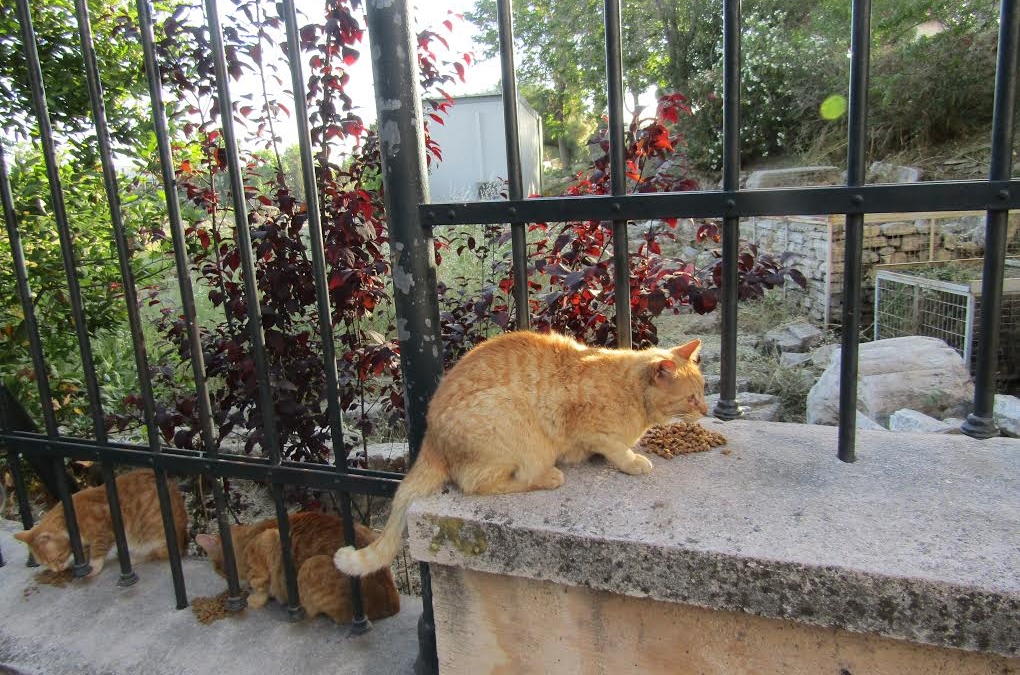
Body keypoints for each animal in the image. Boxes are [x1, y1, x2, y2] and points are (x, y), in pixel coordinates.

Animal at [12, 473, 187, 579]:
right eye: (46, 563)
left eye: (55, 558)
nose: (57, 570)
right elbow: (84, 551)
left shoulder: (103, 531)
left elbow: (97, 551)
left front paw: (93, 568)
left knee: (159, 553)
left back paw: (135, 558)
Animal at [192, 513, 399, 624]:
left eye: (216, 567)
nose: (221, 576)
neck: (247, 537)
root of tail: (392, 603)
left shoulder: (268, 541)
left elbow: (259, 585)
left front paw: (254, 599)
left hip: (309, 566)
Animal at [330, 330, 705, 579]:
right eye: (690, 398)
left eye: (702, 392)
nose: (703, 409)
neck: (629, 391)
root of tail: (430, 439)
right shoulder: (588, 426)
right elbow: (614, 447)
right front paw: (632, 460)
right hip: (519, 425)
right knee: (487, 482)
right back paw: (550, 476)